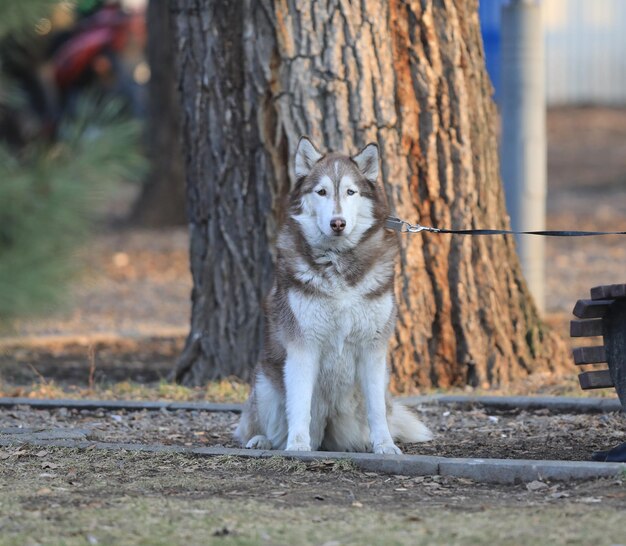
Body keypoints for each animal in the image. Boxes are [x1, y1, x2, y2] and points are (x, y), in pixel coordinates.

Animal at [233, 138, 428, 452]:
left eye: (350, 192)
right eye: (321, 192)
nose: (338, 223)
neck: (338, 263)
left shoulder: (373, 349)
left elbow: (376, 410)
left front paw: (385, 446)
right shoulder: (303, 345)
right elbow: (299, 404)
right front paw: (297, 447)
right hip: (265, 385)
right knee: (262, 426)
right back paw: (262, 440)